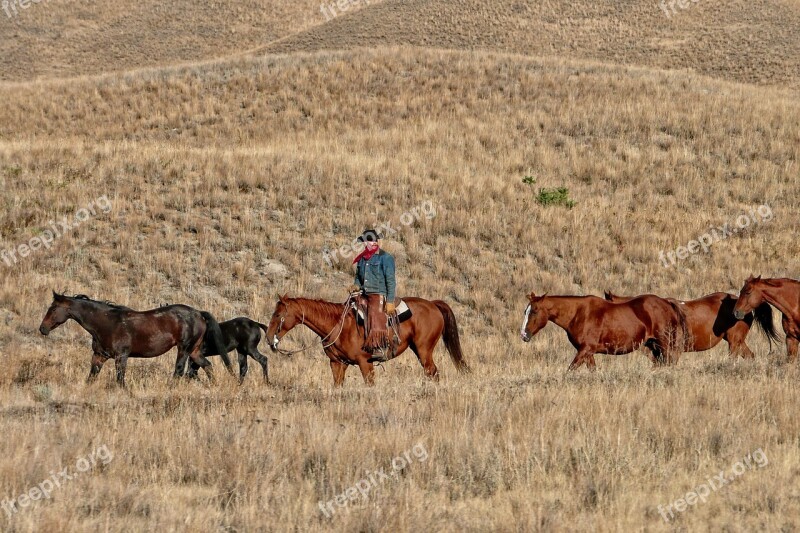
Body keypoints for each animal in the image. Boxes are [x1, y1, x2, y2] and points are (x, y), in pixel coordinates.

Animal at [39, 290, 233, 386]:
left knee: (179, 371)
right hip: (194, 351)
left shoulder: (121, 357)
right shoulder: (99, 356)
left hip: (184, 349)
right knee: (207, 366)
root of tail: (199, 313)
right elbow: (91, 377)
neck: (107, 323)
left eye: (53, 308)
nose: (43, 329)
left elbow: (120, 380)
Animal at [266, 294, 472, 384]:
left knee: (432, 372)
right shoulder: (337, 363)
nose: (268, 338)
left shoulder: (365, 362)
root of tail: (433, 304)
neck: (338, 325)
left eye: (277, 315)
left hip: (424, 350)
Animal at [520, 290, 688, 370]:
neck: (578, 313)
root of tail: (667, 302)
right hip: (653, 346)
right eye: (525, 311)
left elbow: (570, 369)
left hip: (664, 344)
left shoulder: (585, 350)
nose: (523, 335)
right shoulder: (588, 353)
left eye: (534, 311)